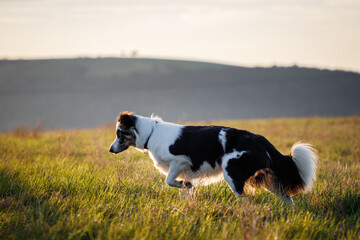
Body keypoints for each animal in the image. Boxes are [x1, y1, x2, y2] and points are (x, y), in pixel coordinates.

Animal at [108, 111, 316, 202]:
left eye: (119, 133)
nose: (110, 149)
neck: (151, 133)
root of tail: (259, 138)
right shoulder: (184, 171)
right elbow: (182, 189)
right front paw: (185, 197)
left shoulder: (179, 161)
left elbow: (169, 181)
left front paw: (186, 186)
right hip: (266, 179)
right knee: (287, 199)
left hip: (232, 172)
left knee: (245, 200)